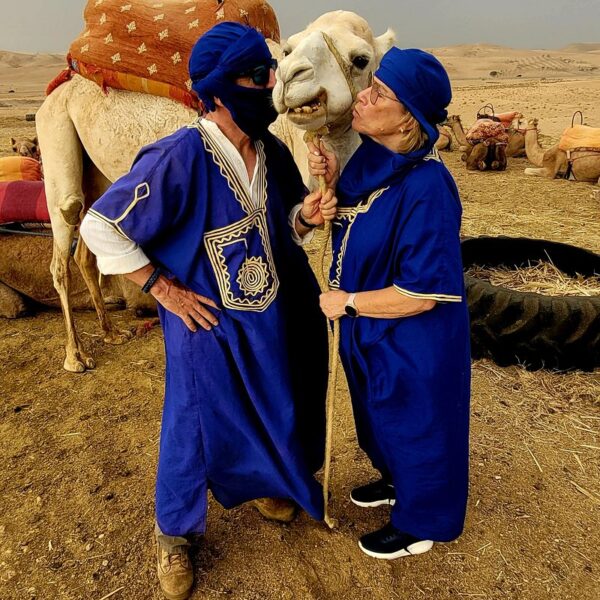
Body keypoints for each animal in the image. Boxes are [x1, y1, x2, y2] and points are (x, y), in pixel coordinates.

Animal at [36, 10, 394, 370]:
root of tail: (60, 88)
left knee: (85, 250)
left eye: (360, 59)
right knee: (65, 231)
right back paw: (76, 355)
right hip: (54, 128)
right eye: (289, 51)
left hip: (97, 172)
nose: (293, 78)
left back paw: (111, 333)